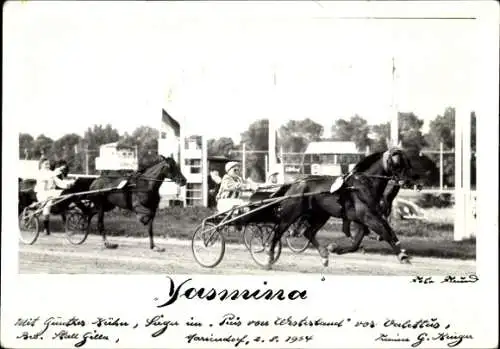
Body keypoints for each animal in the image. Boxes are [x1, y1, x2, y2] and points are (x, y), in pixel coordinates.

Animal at [266, 145, 414, 268]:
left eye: (407, 163)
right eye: (398, 163)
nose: (408, 181)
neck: (363, 184)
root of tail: (295, 183)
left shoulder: (367, 219)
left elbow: (358, 243)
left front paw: (335, 248)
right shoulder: (368, 217)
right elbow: (385, 233)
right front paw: (402, 256)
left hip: (321, 215)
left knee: (309, 232)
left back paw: (324, 256)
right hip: (291, 214)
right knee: (278, 232)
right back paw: (269, 258)